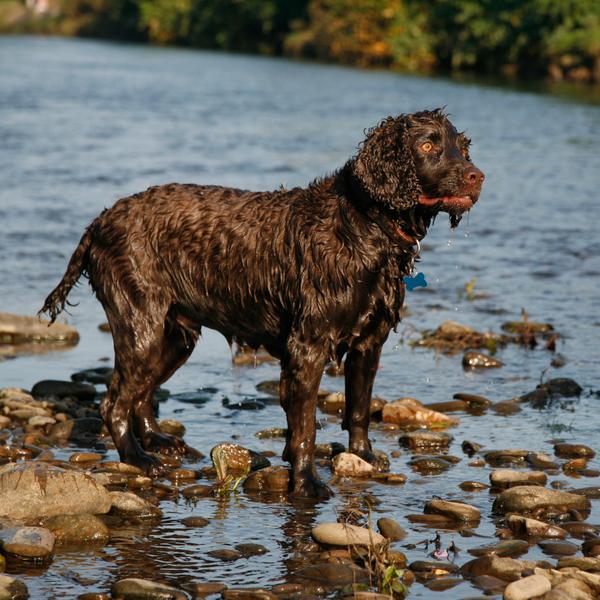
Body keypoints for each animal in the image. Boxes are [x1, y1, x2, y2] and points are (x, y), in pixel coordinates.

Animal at [41, 110, 482, 500]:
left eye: (462, 148)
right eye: (428, 145)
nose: (477, 176)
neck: (366, 225)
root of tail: (101, 221)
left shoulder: (368, 343)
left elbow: (358, 408)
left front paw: (363, 457)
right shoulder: (307, 347)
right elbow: (305, 429)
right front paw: (307, 484)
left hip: (174, 335)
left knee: (140, 394)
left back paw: (157, 440)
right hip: (141, 325)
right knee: (114, 402)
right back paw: (137, 459)